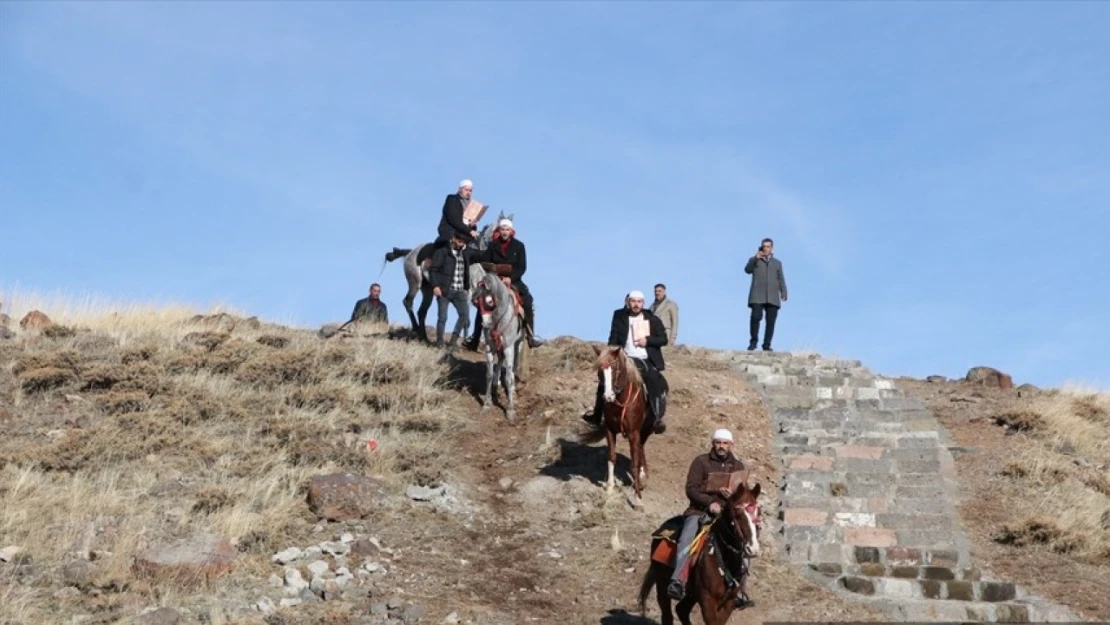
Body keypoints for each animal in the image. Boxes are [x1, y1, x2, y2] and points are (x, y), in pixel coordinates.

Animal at [468, 266, 528, 424]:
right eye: (476, 303)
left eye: (489, 301)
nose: (485, 325)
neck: (498, 318)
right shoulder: (490, 348)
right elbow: (488, 374)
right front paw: (487, 404)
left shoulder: (508, 347)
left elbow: (508, 377)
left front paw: (510, 410)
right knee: (500, 362)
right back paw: (497, 382)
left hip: (517, 345)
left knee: (513, 367)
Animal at [586, 344, 652, 510]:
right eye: (599, 370)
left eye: (615, 368)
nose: (608, 396)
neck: (620, 401)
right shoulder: (610, 430)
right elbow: (611, 457)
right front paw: (610, 488)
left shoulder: (634, 433)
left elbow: (634, 464)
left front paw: (638, 499)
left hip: (646, 430)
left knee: (641, 447)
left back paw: (642, 475)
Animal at [643, 484, 763, 625]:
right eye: (738, 514)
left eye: (759, 513)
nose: (753, 549)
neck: (724, 558)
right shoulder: (707, 599)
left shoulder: (729, 602)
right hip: (662, 583)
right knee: (667, 614)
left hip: (692, 593)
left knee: (681, 610)